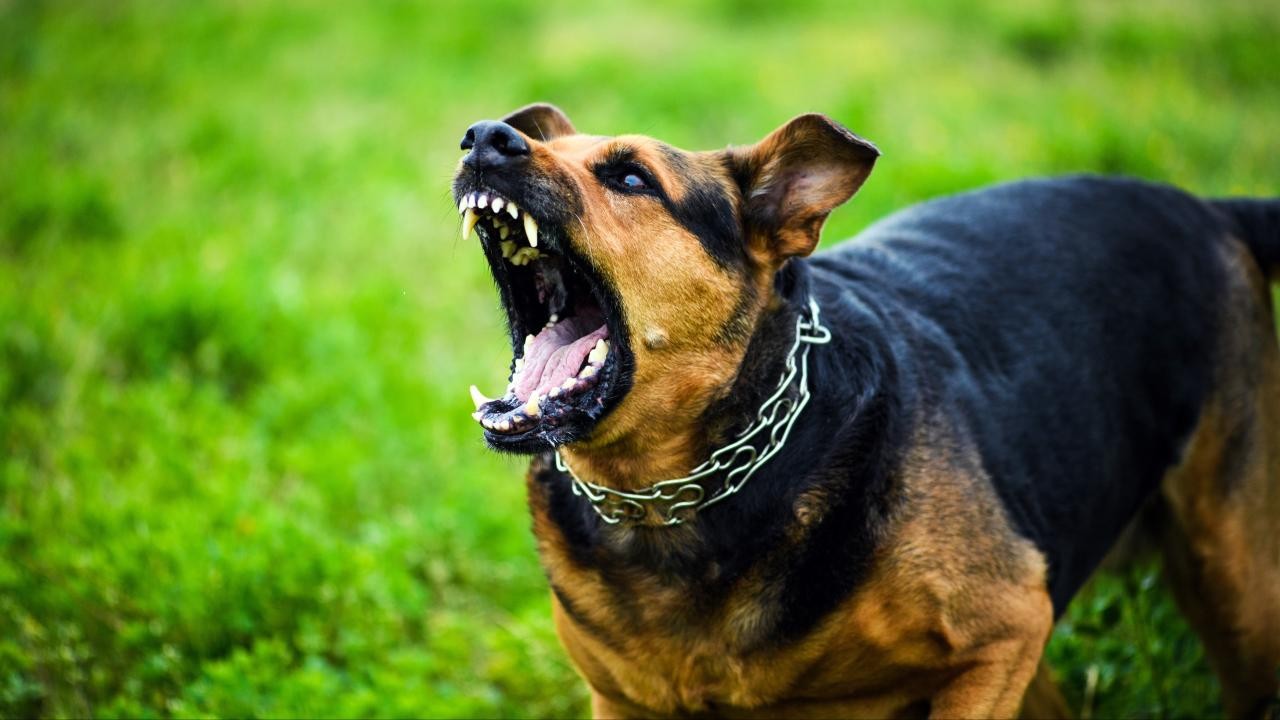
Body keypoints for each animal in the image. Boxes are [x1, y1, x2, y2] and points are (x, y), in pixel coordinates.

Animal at [453, 103, 1280, 712]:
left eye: (629, 177)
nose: (485, 137)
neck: (668, 497)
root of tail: (1206, 210)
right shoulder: (623, 701)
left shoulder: (1003, 633)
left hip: (1238, 584)